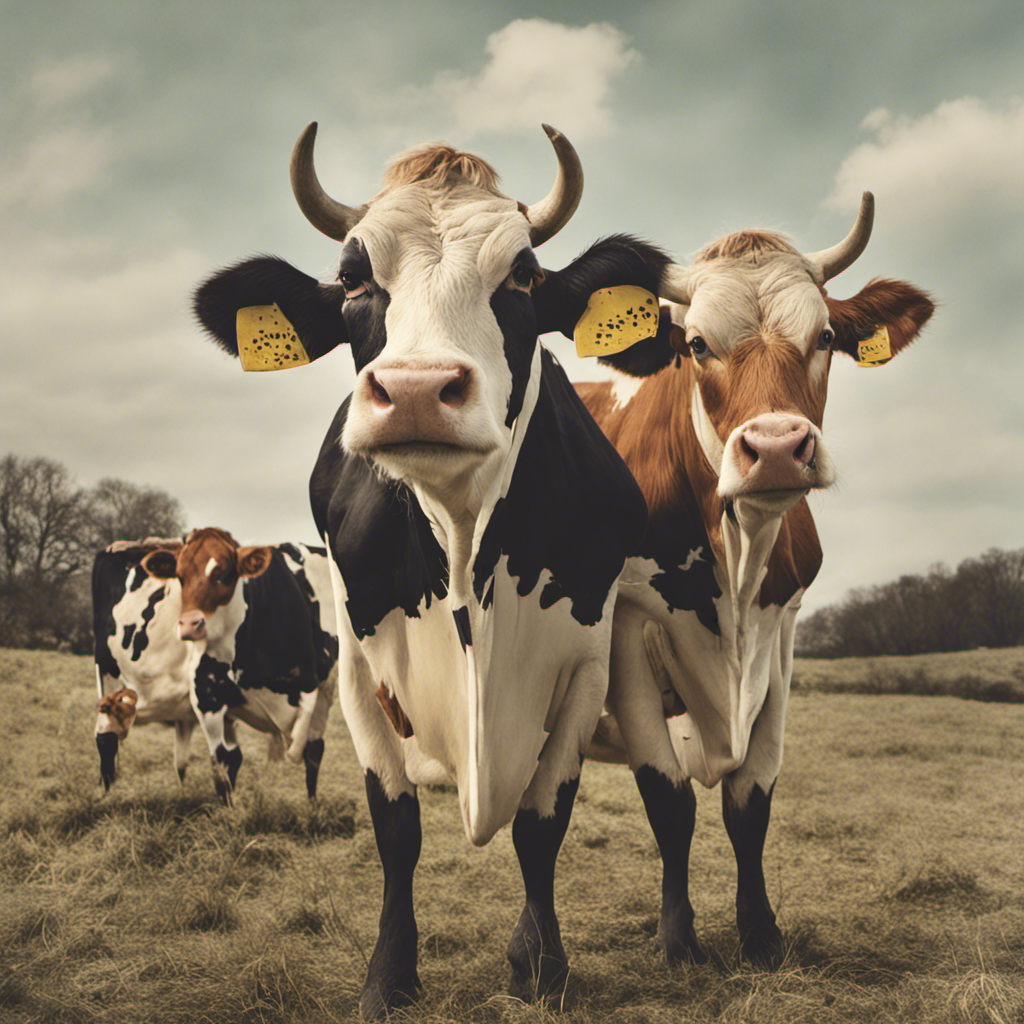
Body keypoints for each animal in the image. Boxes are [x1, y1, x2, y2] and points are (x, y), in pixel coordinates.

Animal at [93, 530, 339, 803]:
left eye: (225, 574)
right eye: (180, 576)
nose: (190, 624)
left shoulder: (323, 691)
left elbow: (313, 750)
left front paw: (312, 806)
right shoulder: (206, 690)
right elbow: (225, 757)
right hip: (107, 677)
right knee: (106, 737)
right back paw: (106, 796)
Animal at [191, 122, 674, 1016]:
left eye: (523, 274)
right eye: (353, 277)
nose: (417, 390)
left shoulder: (585, 662)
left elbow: (541, 824)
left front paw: (543, 967)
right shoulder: (355, 666)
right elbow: (397, 828)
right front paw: (389, 976)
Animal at [570, 193, 935, 967]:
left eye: (824, 335)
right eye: (696, 344)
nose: (773, 449)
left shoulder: (783, 633)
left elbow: (751, 800)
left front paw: (761, 933)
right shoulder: (629, 633)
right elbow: (670, 801)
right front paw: (680, 941)